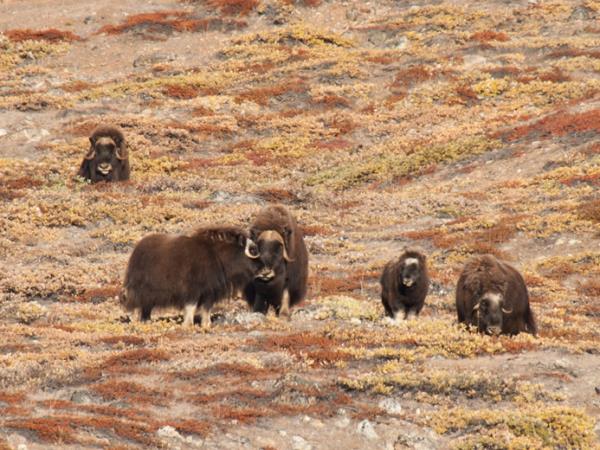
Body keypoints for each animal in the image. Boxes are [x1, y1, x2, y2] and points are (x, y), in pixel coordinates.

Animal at [120, 227, 258, 328]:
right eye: (252, 249)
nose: (262, 270)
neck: (217, 255)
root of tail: (137, 249)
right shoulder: (193, 290)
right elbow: (191, 306)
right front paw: (188, 324)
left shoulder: (210, 291)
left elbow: (206, 308)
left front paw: (206, 324)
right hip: (142, 289)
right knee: (137, 302)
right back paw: (137, 320)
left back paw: (146, 320)